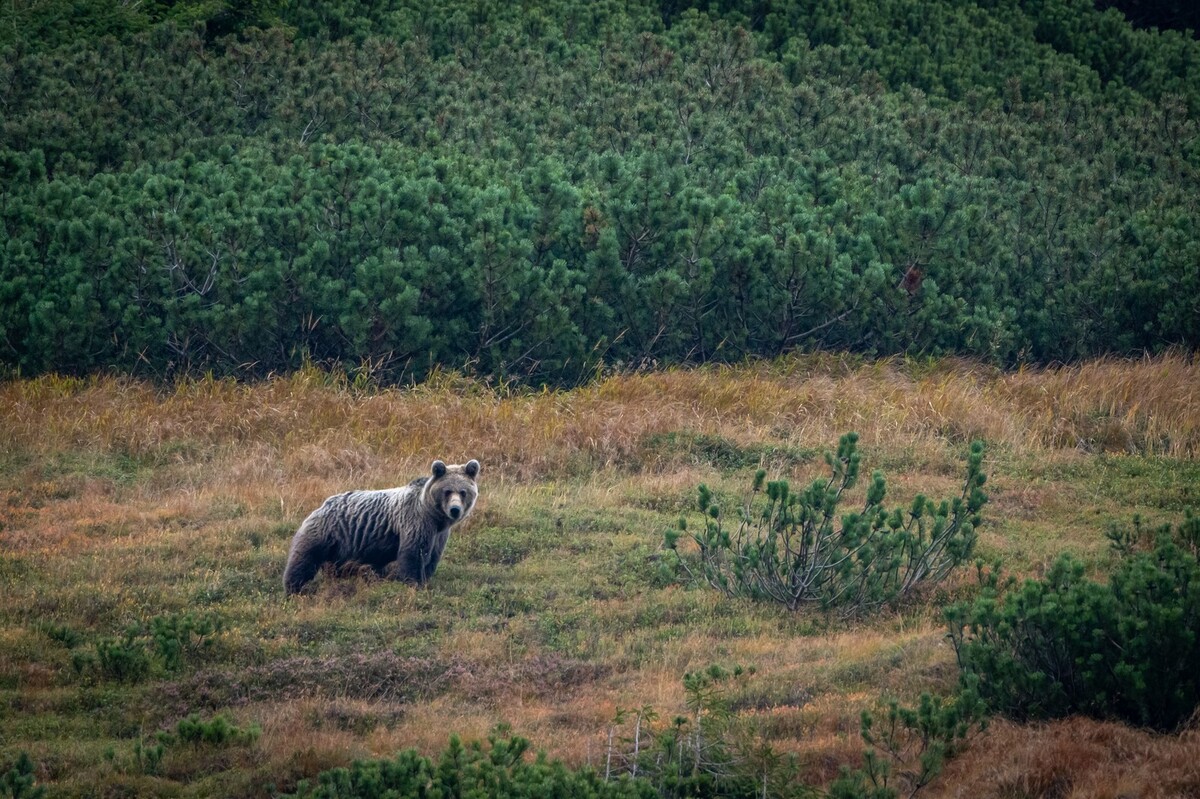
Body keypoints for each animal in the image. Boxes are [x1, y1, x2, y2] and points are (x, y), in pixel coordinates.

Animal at [283, 459, 479, 595]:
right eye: (447, 491)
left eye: (463, 492)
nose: (455, 510)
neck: (433, 515)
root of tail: (322, 505)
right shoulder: (415, 521)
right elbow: (413, 554)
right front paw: (414, 583)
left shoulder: (439, 533)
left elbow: (432, 557)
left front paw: (426, 578)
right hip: (325, 532)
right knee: (304, 558)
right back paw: (294, 587)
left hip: (341, 546)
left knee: (336, 566)